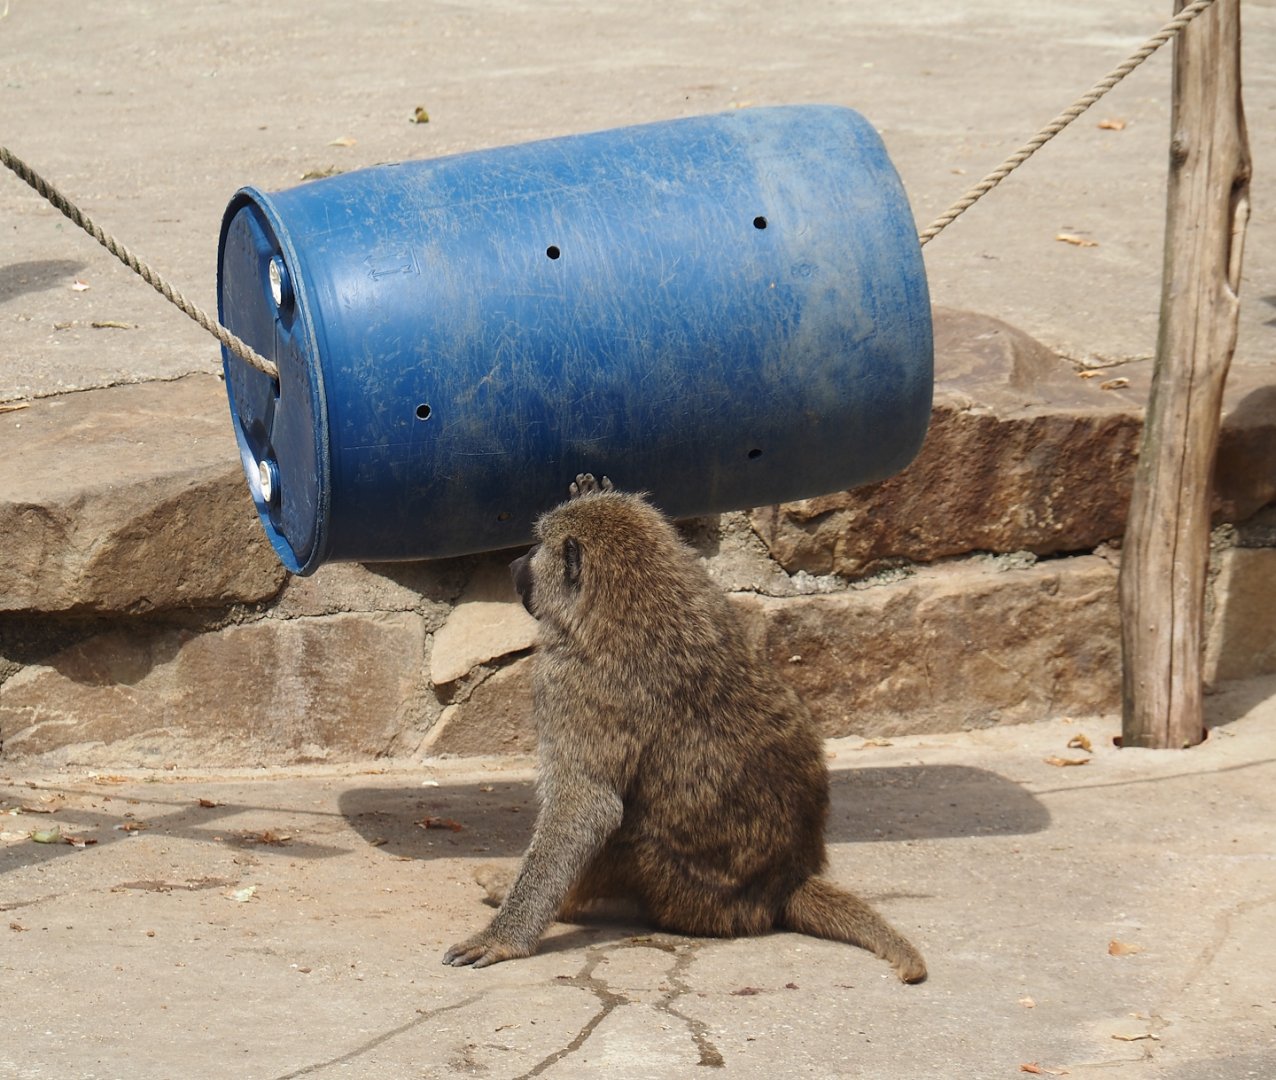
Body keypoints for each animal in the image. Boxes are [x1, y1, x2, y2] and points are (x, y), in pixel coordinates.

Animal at [443, 474, 926, 983]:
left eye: (538, 546)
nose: (515, 564)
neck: (637, 594)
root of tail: (785, 882)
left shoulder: (567, 684)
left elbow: (588, 808)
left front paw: (502, 937)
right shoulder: (701, 585)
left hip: (665, 880)